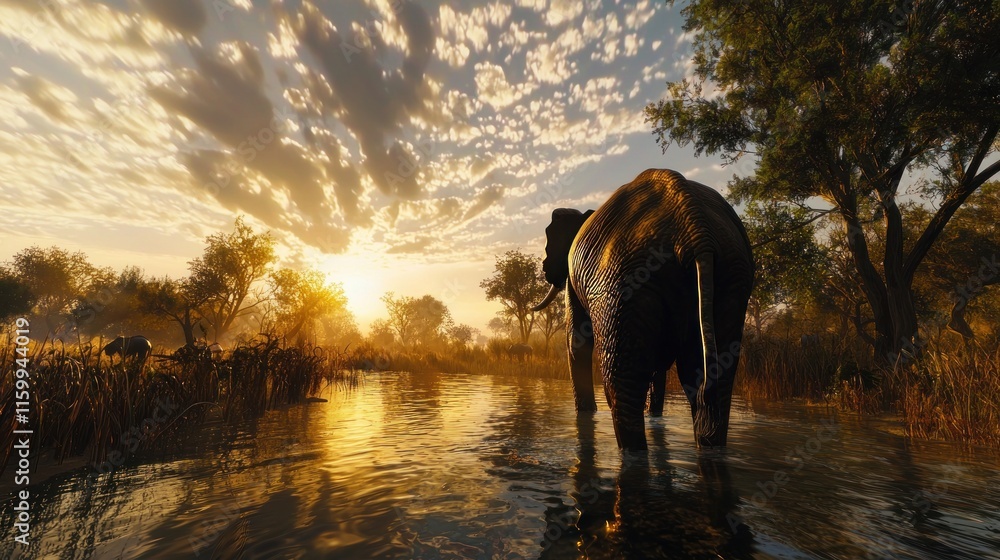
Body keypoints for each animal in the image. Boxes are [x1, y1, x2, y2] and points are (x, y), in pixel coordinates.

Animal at [532, 168, 754, 450]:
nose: (543, 266)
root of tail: (695, 228)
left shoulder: (574, 280)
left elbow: (577, 343)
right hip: (731, 275)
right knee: (710, 382)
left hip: (626, 279)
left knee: (621, 382)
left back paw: (631, 450)